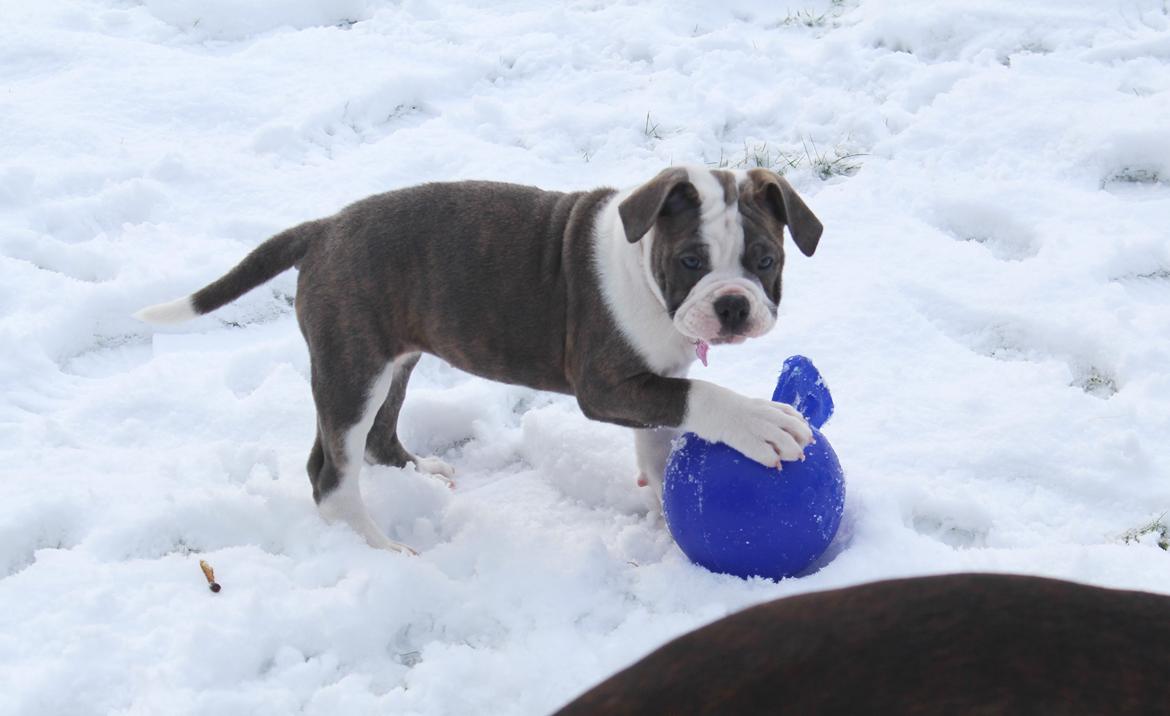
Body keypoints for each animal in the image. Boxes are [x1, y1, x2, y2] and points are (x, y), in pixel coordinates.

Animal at [139, 166, 823, 554]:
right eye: (691, 261)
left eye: (765, 260)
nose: (732, 305)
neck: (643, 263)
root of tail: (324, 228)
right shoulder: (606, 383)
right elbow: (700, 399)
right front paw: (760, 423)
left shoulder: (654, 380)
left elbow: (660, 447)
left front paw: (663, 518)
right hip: (355, 368)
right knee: (332, 475)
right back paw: (378, 549)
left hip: (392, 360)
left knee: (372, 438)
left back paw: (416, 475)